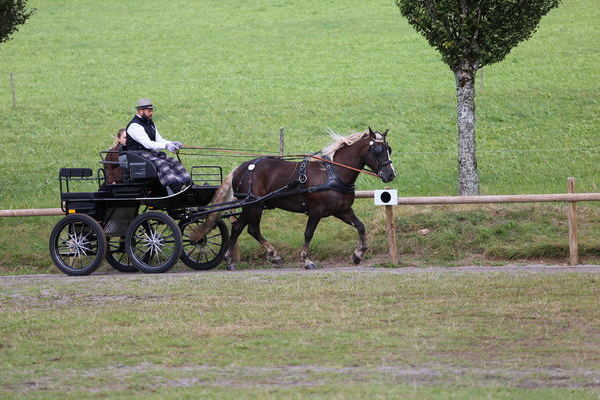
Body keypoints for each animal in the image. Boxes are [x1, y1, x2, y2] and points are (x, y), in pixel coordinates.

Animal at [195, 128, 396, 270]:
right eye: (377, 150)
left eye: (389, 149)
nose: (390, 174)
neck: (334, 173)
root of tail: (242, 168)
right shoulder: (315, 211)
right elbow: (308, 233)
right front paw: (306, 260)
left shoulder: (342, 210)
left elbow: (360, 226)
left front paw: (358, 254)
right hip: (254, 206)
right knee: (251, 229)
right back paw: (270, 254)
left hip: (252, 206)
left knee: (238, 227)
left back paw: (232, 260)